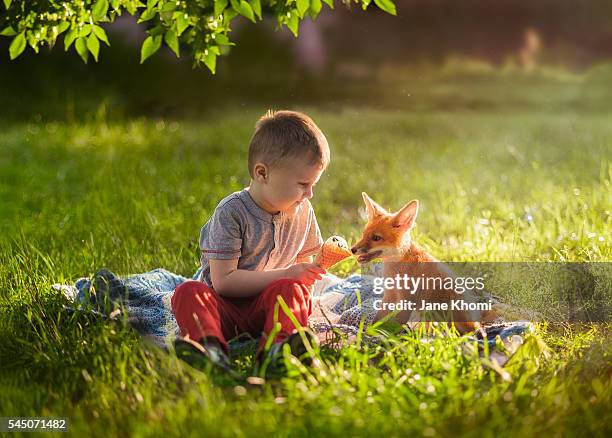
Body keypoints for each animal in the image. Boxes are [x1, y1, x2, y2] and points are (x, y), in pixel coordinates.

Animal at [350, 193, 492, 334]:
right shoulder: (390, 295)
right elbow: (377, 319)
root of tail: (476, 322)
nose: (352, 249)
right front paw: (368, 332)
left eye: (376, 238)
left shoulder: (406, 299)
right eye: (363, 234)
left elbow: (396, 324)